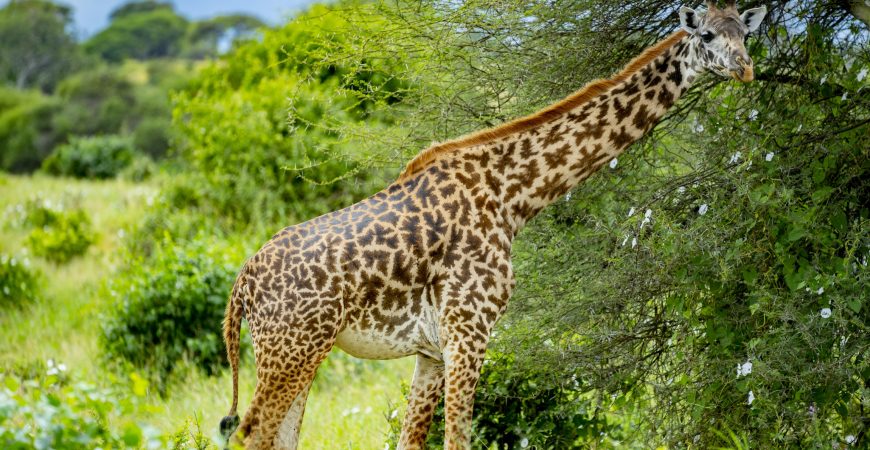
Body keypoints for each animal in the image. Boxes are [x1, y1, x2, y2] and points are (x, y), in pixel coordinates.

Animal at [219, 2, 767, 448]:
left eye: (746, 32)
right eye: (707, 35)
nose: (745, 68)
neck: (512, 197)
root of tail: (242, 284)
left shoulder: (432, 350)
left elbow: (411, 440)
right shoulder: (470, 329)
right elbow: (458, 439)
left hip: (303, 352)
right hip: (290, 349)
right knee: (252, 434)